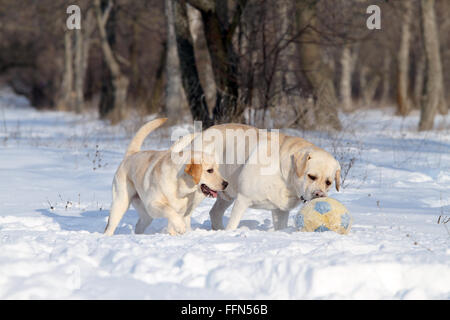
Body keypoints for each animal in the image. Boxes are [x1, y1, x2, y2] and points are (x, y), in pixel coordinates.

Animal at [173, 124, 342, 231]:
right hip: (200, 190)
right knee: (186, 214)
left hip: (226, 192)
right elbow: (233, 223)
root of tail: (198, 135)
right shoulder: (243, 199)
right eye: (311, 176)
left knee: (214, 213)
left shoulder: (281, 210)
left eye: (328, 182)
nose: (319, 194)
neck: (285, 176)